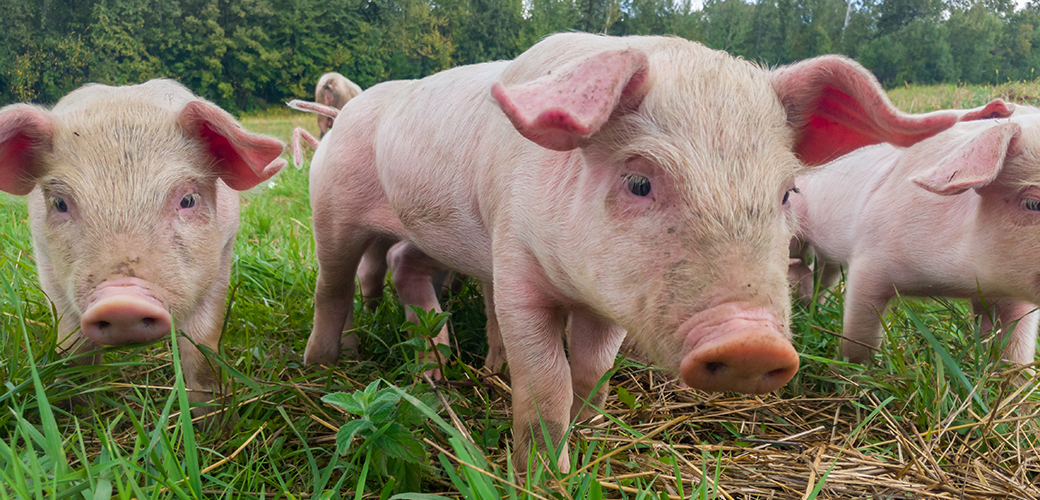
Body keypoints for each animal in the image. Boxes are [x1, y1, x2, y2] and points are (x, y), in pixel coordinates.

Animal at [0, 79, 284, 417]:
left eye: (188, 199)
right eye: (60, 203)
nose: (122, 302)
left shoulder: (224, 251)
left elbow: (202, 342)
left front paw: (210, 417)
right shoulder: (45, 262)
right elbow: (75, 343)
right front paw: (76, 412)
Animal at [305, 33, 998, 469]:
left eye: (786, 192)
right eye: (639, 181)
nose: (752, 342)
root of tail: (355, 107)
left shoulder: (614, 297)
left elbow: (591, 368)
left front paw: (591, 432)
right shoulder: (517, 267)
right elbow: (546, 381)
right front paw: (543, 473)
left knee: (405, 268)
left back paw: (449, 368)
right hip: (331, 206)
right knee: (334, 284)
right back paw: (325, 366)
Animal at [786, 101, 1040, 365]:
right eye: (1034, 204)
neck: (955, 283)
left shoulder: (1010, 297)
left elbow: (1015, 347)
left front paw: (1021, 375)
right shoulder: (870, 259)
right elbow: (861, 331)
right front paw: (856, 366)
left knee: (825, 274)